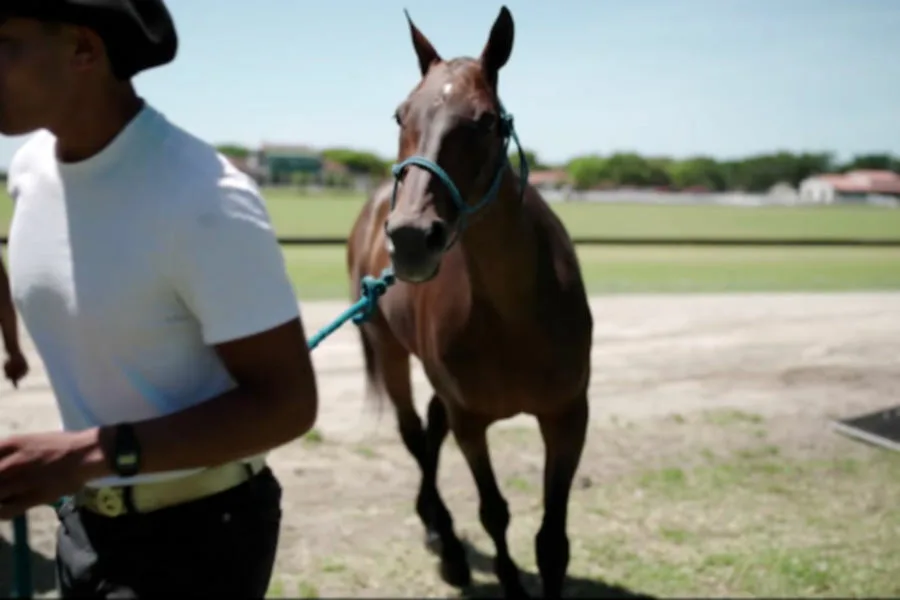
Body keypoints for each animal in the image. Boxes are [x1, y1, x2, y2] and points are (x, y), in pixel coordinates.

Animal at [342, 3, 592, 596]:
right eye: (399, 115)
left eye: (485, 120)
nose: (411, 237)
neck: (517, 316)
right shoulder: (471, 423)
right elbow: (494, 512)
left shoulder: (569, 416)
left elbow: (553, 540)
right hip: (390, 353)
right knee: (415, 434)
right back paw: (449, 543)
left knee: (429, 430)